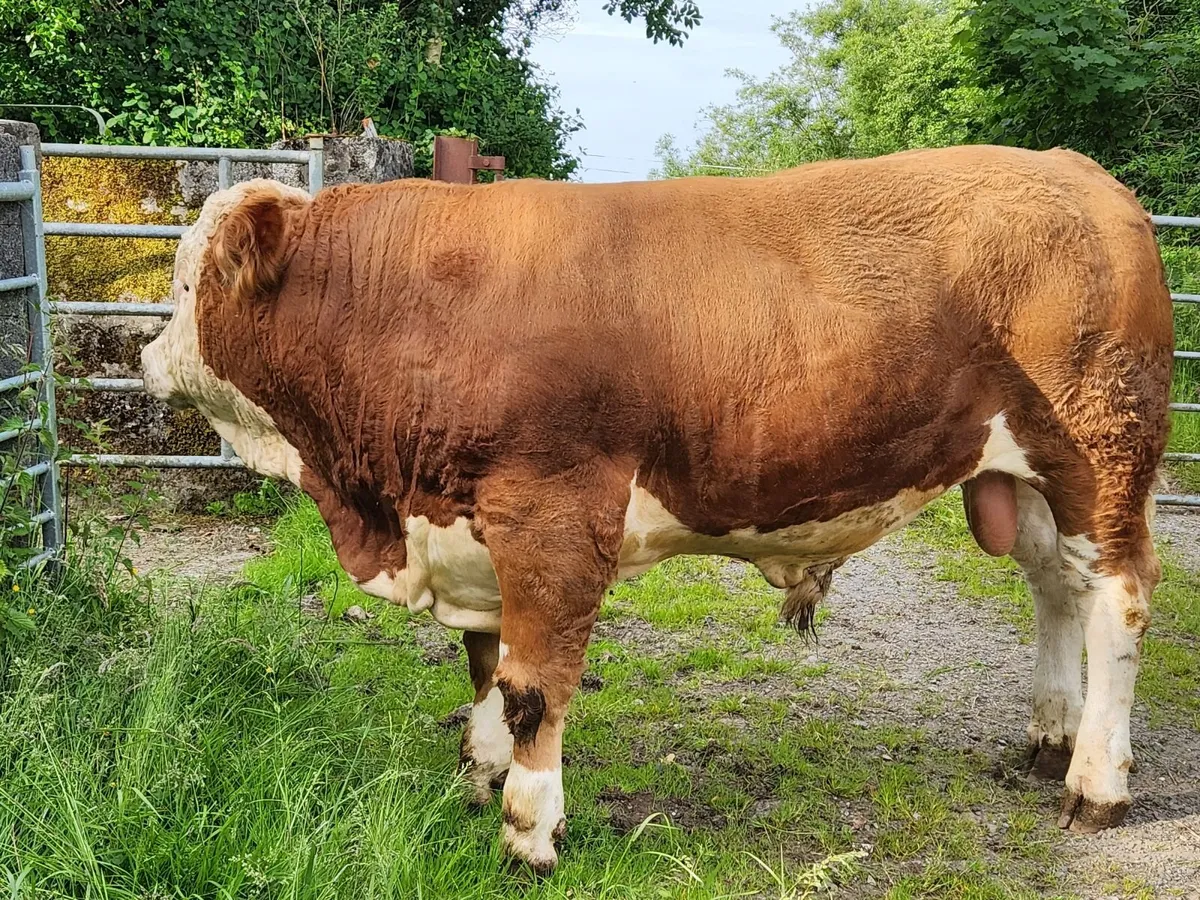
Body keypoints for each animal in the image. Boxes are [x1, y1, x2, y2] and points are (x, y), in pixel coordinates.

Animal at [141, 144, 1173, 874]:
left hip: (1101, 453)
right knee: (1056, 588)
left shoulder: (553, 520)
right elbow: (484, 666)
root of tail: (1076, 172)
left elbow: (533, 687)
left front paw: (529, 831)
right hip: (1022, 476)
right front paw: (479, 774)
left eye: (189, 281)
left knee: (1119, 599)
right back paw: (1050, 735)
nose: (145, 353)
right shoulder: (473, 525)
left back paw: (1096, 783)